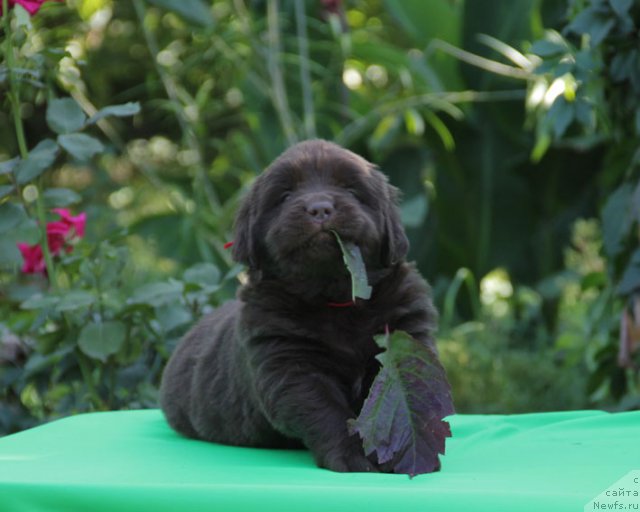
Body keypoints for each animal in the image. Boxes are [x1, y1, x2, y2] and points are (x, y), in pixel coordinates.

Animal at [160, 139, 440, 472]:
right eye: (285, 196)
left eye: (351, 189)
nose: (319, 208)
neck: (336, 301)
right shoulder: (289, 362)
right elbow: (325, 409)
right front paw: (353, 455)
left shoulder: (405, 334)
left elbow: (402, 399)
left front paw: (406, 451)